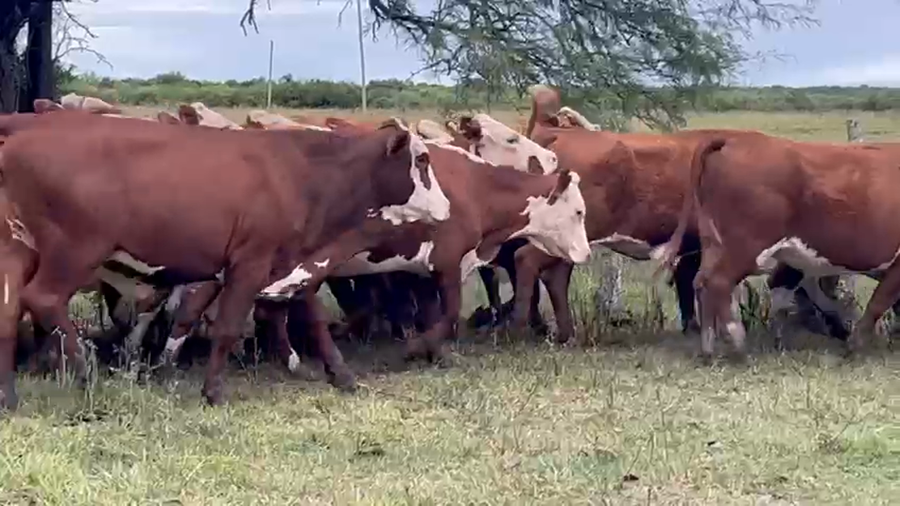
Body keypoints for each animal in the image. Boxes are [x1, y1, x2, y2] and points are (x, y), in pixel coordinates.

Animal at [0, 110, 450, 410]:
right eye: (423, 160)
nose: (446, 208)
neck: (300, 174)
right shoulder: (248, 263)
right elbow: (229, 327)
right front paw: (213, 391)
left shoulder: (290, 261)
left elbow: (315, 319)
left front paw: (340, 375)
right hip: (75, 251)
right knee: (43, 300)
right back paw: (86, 374)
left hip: (21, 253)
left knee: (10, 310)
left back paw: (10, 395)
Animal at [658, 135, 900, 361]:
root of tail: (734, 139)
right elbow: (879, 302)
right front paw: (854, 346)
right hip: (745, 246)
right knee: (718, 282)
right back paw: (739, 346)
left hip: (713, 243)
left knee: (701, 283)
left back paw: (709, 349)